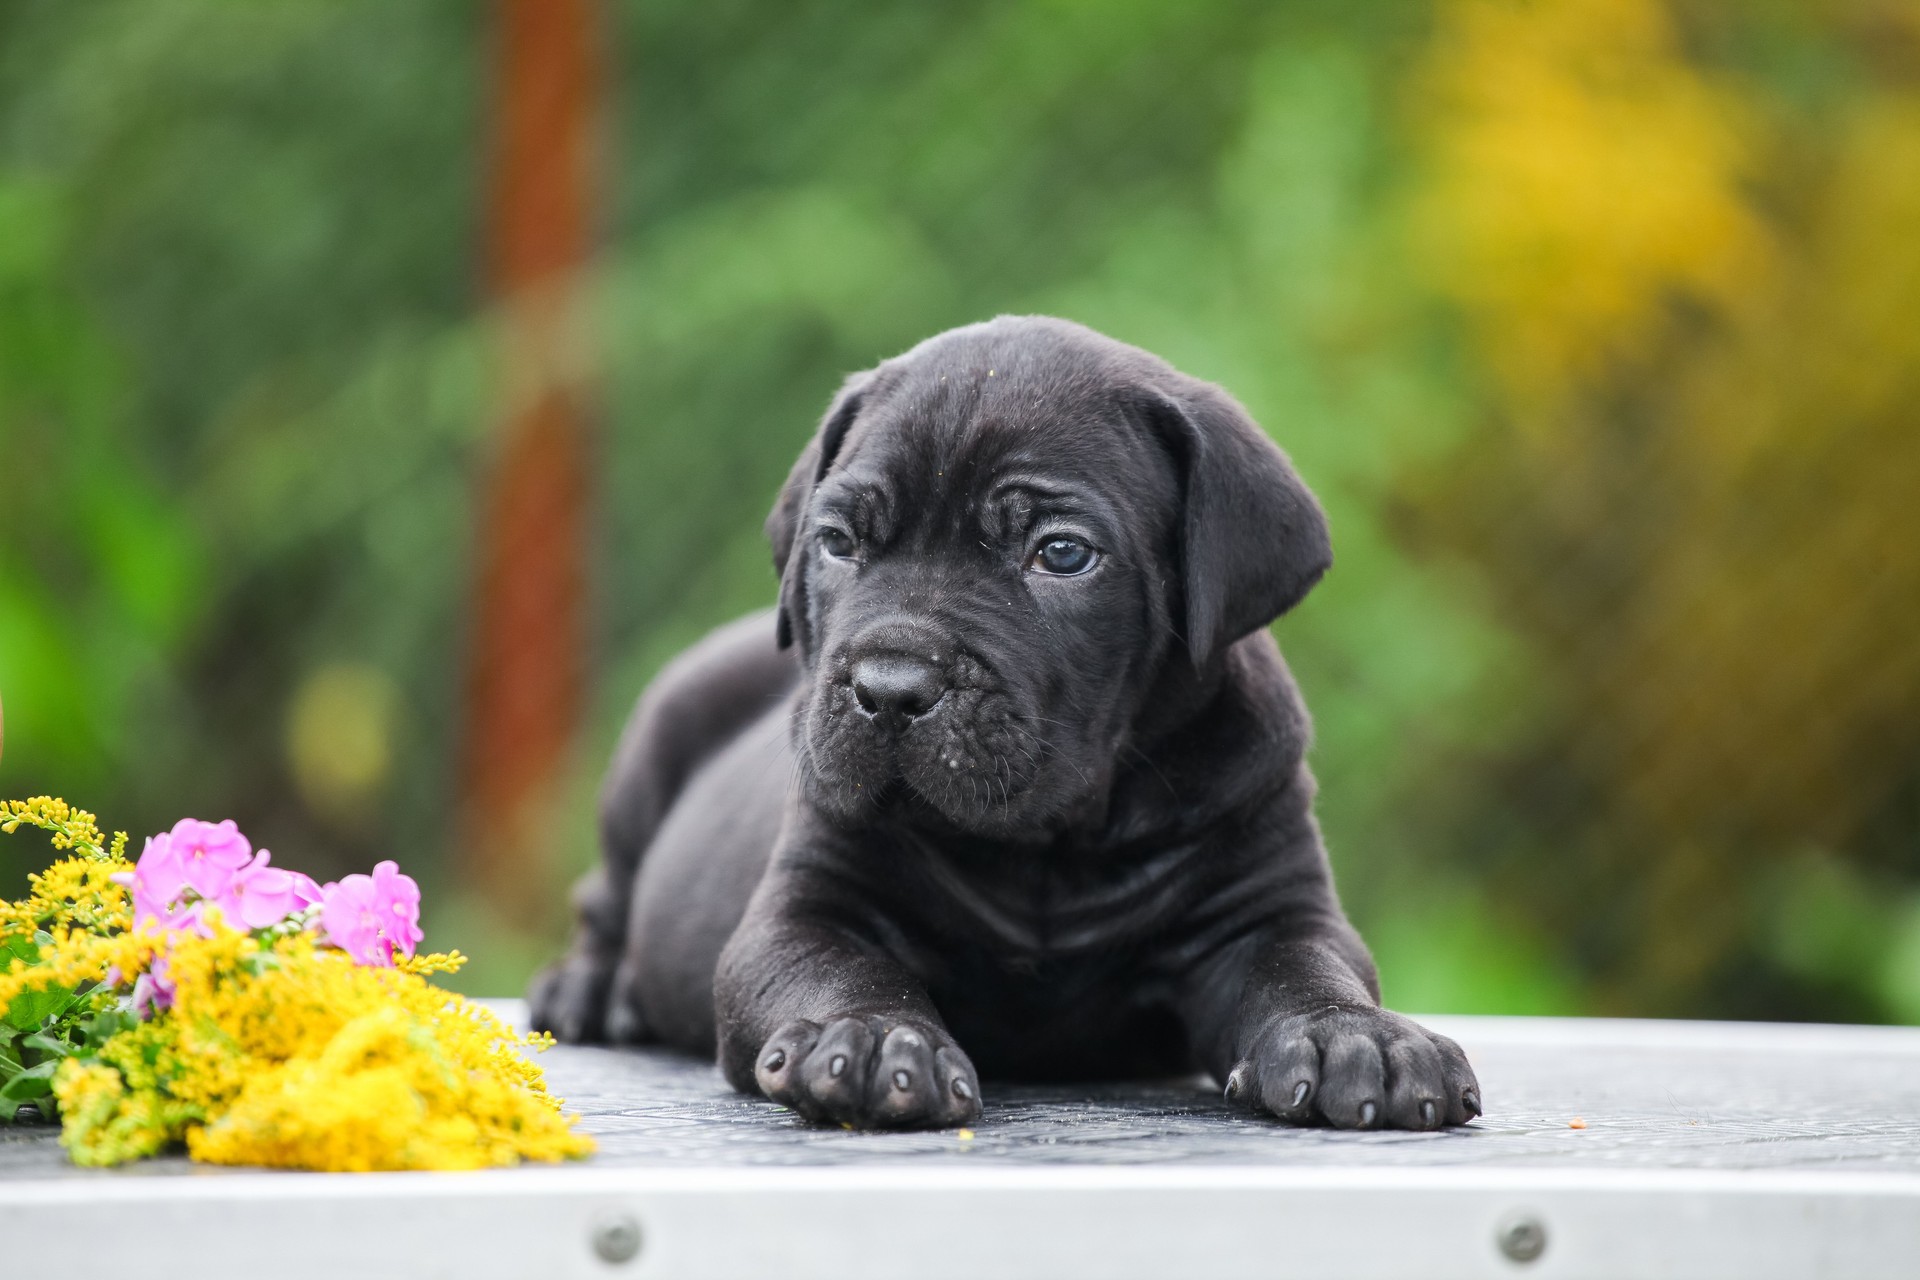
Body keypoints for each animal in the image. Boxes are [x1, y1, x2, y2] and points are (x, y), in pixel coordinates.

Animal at [537, 318, 1482, 1128]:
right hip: (658, 736)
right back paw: (589, 990)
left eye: (1061, 553)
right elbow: (834, 968)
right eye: (837, 542)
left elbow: (1309, 967)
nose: (889, 687)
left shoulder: (1265, 910)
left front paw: (1354, 1035)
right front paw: (871, 1038)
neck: (1048, 854)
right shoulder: (808, 905)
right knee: (606, 894)